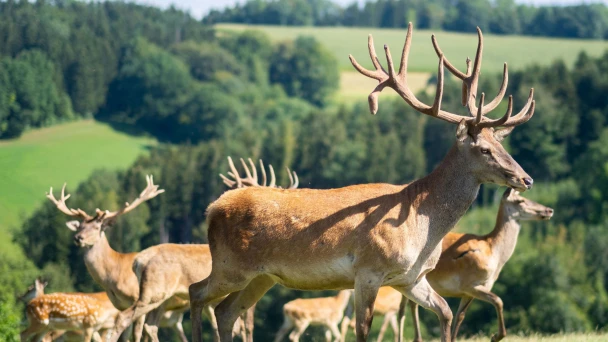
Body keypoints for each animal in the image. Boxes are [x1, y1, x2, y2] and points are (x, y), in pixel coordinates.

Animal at [189, 23, 536, 342]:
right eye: (484, 149)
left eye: (502, 144)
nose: (526, 178)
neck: (422, 229)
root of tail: (212, 208)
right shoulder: (369, 270)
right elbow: (362, 331)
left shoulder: (411, 278)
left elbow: (447, 312)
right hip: (230, 265)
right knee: (197, 292)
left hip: (262, 277)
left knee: (225, 311)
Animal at [402, 188, 552, 340]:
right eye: (520, 201)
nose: (549, 210)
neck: (494, 252)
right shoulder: (469, 284)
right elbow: (498, 300)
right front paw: (495, 336)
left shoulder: (469, 291)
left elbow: (460, 315)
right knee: (411, 305)